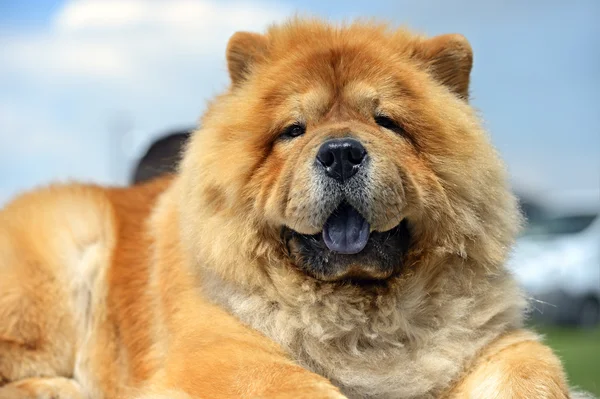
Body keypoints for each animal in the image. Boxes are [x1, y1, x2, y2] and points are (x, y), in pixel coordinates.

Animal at [1, 18, 580, 399]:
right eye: (293, 131)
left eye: (386, 122)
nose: (342, 152)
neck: (361, 316)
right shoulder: (223, 352)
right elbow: (300, 386)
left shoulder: (493, 340)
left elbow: (532, 371)